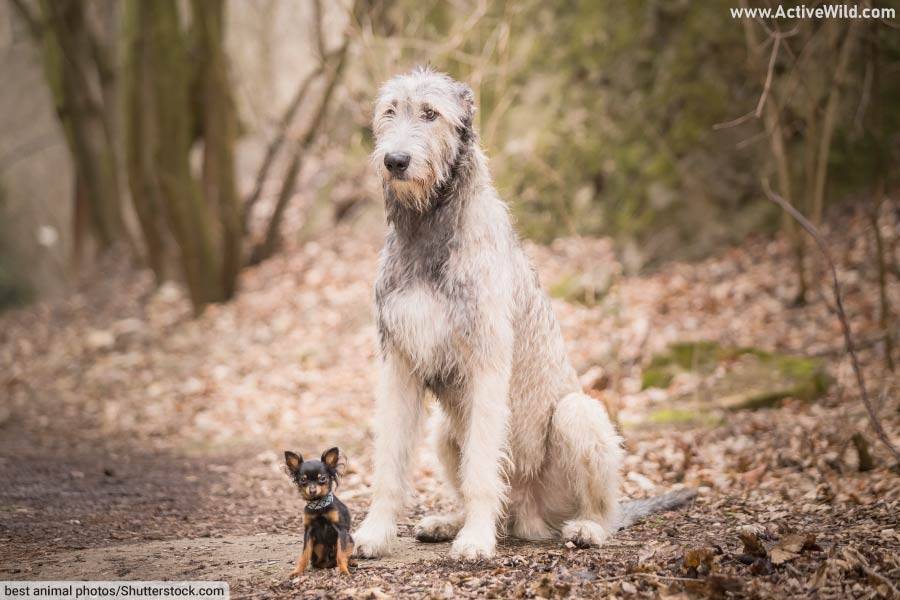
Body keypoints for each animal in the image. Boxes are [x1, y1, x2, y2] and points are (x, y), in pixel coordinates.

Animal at [284, 448, 352, 576]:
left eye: (322, 478)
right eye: (303, 480)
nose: (312, 490)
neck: (319, 506)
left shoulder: (341, 530)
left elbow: (341, 554)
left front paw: (344, 571)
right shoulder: (309, 532)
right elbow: (304, 554)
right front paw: (297, 571)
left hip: (349, 540)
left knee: (343, 555)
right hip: (319, 546)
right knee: (319, 563)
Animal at [356, 68, 692, 560]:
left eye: (431, 114)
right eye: (389, 111)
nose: (395, 161)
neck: (428, 227)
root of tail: (526, 517)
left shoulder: (486, 361)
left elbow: (481, 469)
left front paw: (476, 539)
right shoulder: (398, 361)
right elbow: (389, 463)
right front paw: (376, 532)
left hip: (578, 417)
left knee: (601, 505)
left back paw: (585, 527)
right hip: (444, 431)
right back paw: (450, 521)